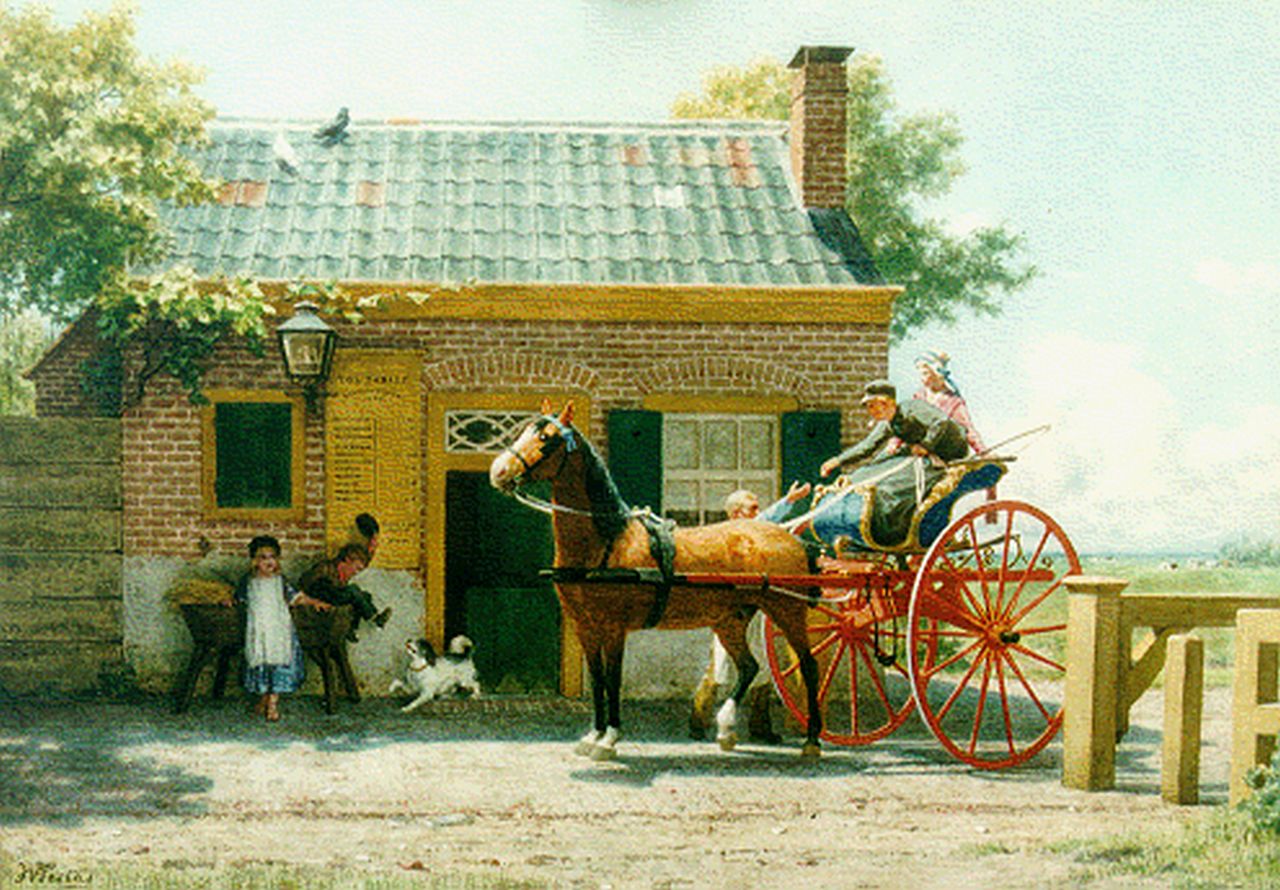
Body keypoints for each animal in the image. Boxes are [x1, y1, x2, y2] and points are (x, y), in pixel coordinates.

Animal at [488, 402, 819, 758]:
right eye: (524, 431)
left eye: (547, 438)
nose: (498, 471)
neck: (605, 541)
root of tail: (791, 537)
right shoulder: (585, 626)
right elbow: (598, 679)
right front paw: (593, 735)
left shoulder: (614, 627)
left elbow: (612, 679)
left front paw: (609, 738)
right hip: (730, 619)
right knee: (748, 668)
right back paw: (727, 729)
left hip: (788, 610)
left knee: (808, 666)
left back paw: (812, 740)